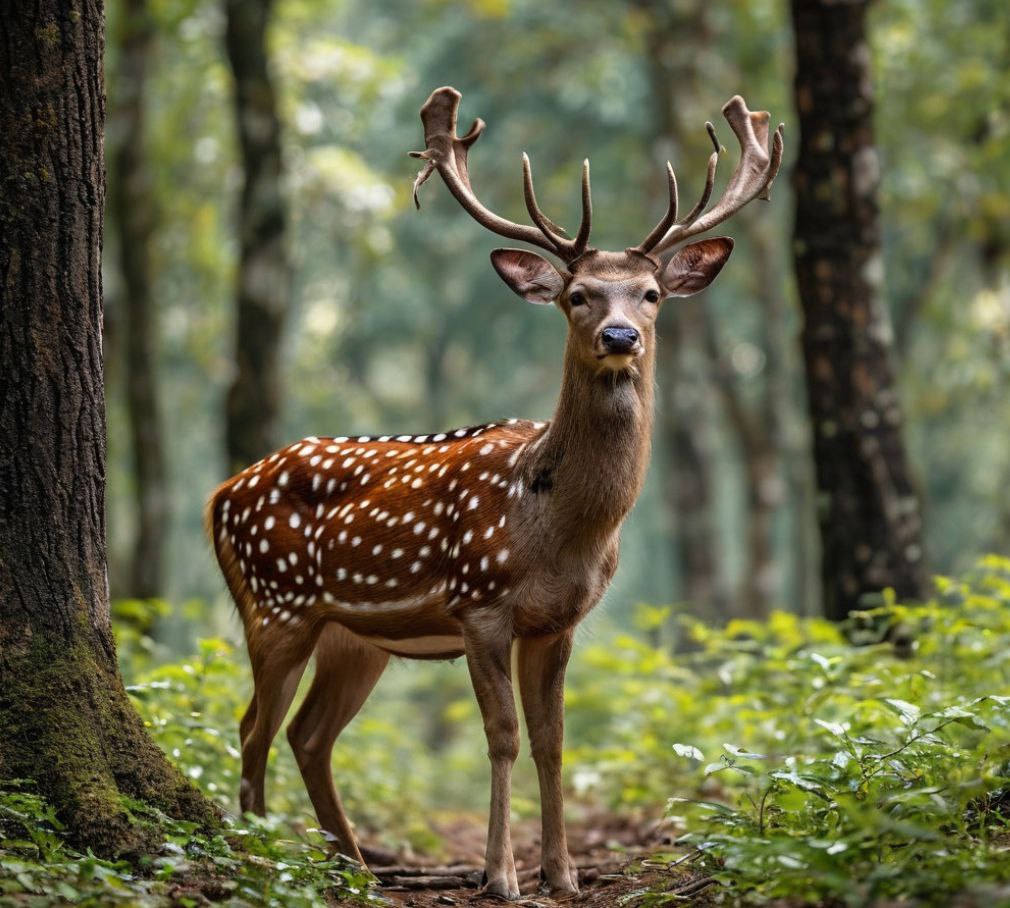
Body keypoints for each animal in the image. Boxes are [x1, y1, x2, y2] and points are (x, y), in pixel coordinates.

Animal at [205, 86, 779, 900]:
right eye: (576, 294)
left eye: (650, 294)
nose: (620, 336)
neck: (559, 528)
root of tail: (219, 494)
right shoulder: (479, 603)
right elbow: (502, 737)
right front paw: (501, 875)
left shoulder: (561, 621)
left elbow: (552, 739)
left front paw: (563, 874)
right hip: (275, 604)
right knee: (251, 725)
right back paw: (262, 858)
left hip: (351, 635)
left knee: (306, 734)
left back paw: (352, 865)